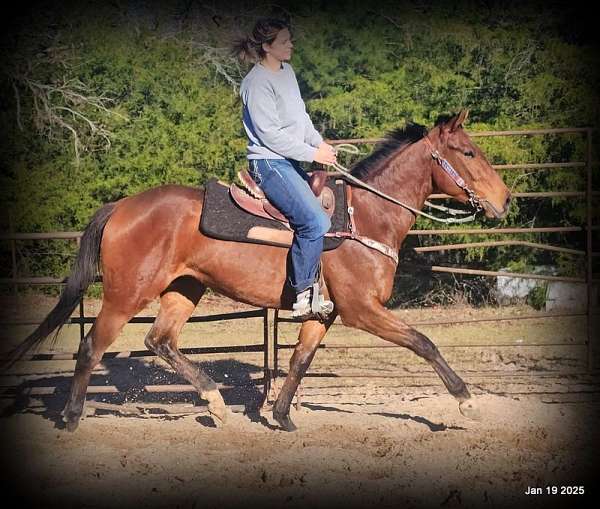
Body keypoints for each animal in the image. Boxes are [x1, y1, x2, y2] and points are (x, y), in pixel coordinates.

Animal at [7, 109, 510, 430]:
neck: (364, 218)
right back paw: (72, 418)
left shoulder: (324, 314)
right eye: (467, 152)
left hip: (184, 290)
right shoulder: (361, 311)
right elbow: (424, 342)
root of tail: (122, 206)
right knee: (91, 346)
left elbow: (300, 360)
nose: (504, 200)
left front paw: (282, 416)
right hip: (125, 294)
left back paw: (215, 404)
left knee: (159, 341)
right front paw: (466, 401)